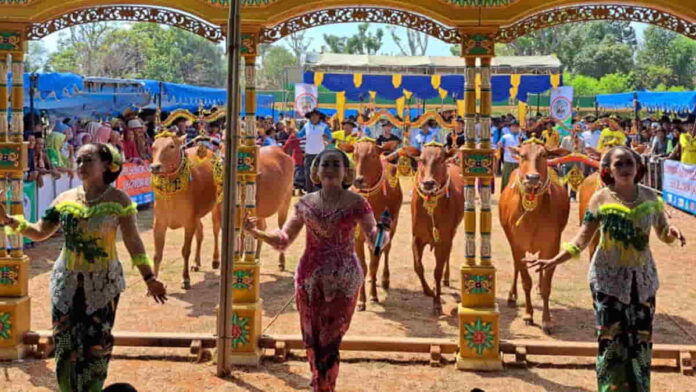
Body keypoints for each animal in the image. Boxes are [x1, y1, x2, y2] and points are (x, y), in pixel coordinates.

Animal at [348, 139, 402, 310]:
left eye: (372, 155)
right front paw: (361, 300)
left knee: (386, 250)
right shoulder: (357, 236)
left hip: (393, 227)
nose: (359, 180)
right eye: (355, 154)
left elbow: (373, 265)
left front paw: (372, 296)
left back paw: (384, 280)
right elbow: (363, 266)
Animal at [408, 144, 462, 316]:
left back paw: (446, 278)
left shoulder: (444, 240)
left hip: (453, 231)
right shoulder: (416, 238)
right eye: (421, 160)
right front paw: (429, 291)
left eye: (441, 160)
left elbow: (437, 271)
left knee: (448, 256)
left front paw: (437, 303)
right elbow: (418, 267)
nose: (428, 183)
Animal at [500, 141, 572, 334]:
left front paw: (546, 320)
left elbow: (547, 284)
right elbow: (526, 281)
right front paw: (528, 315)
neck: (533, 214)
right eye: (522, 155)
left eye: (544, 155)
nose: (532, 178)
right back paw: (512, 296)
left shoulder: (552, 245)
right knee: (516, 267)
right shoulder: (517, 245)